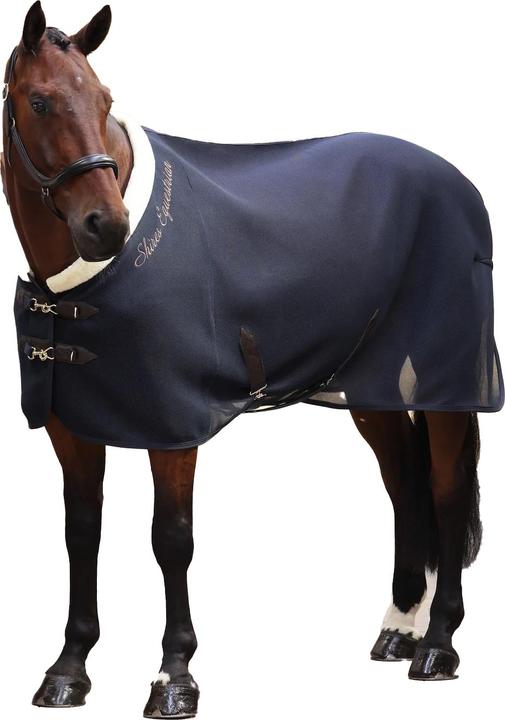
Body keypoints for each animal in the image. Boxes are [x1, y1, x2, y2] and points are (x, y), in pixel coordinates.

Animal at [2, 2, 502, 717]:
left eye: (103, 99)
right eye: (39, 102)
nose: (107, 225)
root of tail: (455, 180)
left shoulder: (174, 428)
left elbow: (171, 539)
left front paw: (174, 676)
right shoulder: (72, 430)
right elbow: (81, 534)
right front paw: (69, 669)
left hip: (446, 382)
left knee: (444, 488)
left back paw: (437, 646)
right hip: (373, 390)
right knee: (404, 485)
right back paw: (398, 629)